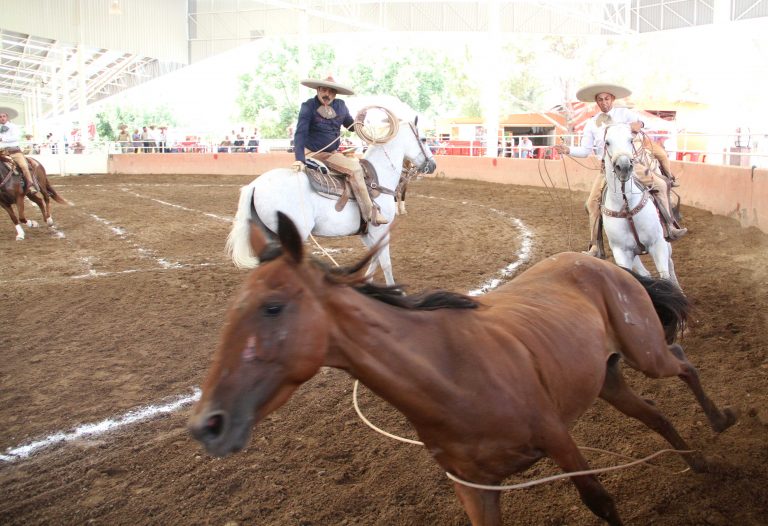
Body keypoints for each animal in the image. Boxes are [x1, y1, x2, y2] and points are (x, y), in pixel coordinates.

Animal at [189, 212, 736, 524]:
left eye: (273, 307)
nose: (207, 425)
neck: (450, 377)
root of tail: (603, 264)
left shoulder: (558, 438)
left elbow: (600, 501)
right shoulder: (473, 487)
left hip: (646, 351)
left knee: (682, 363)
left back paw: (721, 421)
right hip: (608, 380)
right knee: (656, 415)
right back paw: (698, 462)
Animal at [225, 118, 436, 286]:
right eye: (424, 139)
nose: (433, 165)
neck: (378, 177)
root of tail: (254, 185)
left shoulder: (366, 232)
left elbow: (374, 257)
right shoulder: (380, 228)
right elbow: (385, 262)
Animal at [600, 124, 680, 288]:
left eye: (630, 140)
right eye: (607, 142)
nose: (624, 166)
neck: (627, 208)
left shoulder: (658, 243)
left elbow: (665, 277)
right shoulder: (622, 253)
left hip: (665, 243)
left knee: (670, 265)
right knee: (645, 273)